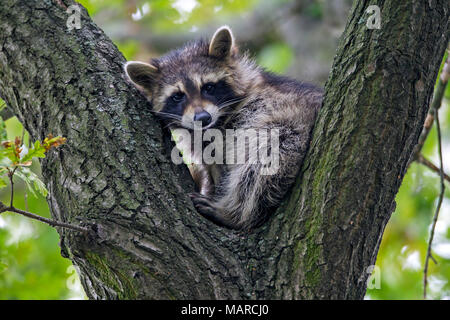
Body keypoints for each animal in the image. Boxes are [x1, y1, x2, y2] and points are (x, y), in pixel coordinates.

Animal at [125, 25, 322, 230]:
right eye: (177, 96)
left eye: (208, 87)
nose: (202, 118)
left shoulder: (267, 108)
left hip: (290, 129)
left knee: (262, 161)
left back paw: (235, 213)